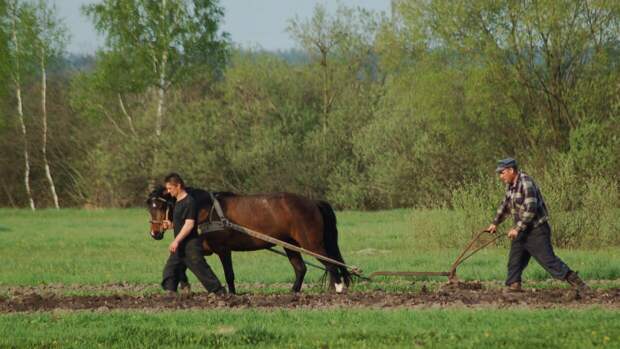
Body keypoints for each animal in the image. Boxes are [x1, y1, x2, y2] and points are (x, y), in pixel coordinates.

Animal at [145, 185, 348, 294]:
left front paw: (232, 294)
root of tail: (313, 202)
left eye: (161, 206)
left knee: (330, 263)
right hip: (290, 245)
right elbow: (184, 261)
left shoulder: (223, 249)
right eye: (149, 206)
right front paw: (184, 284)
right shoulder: (204, 246)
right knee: (301, 268)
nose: (155, 233)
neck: (206, 210)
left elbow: (229, 273)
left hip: (311, 244)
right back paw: (293, 292)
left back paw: (338, 288)